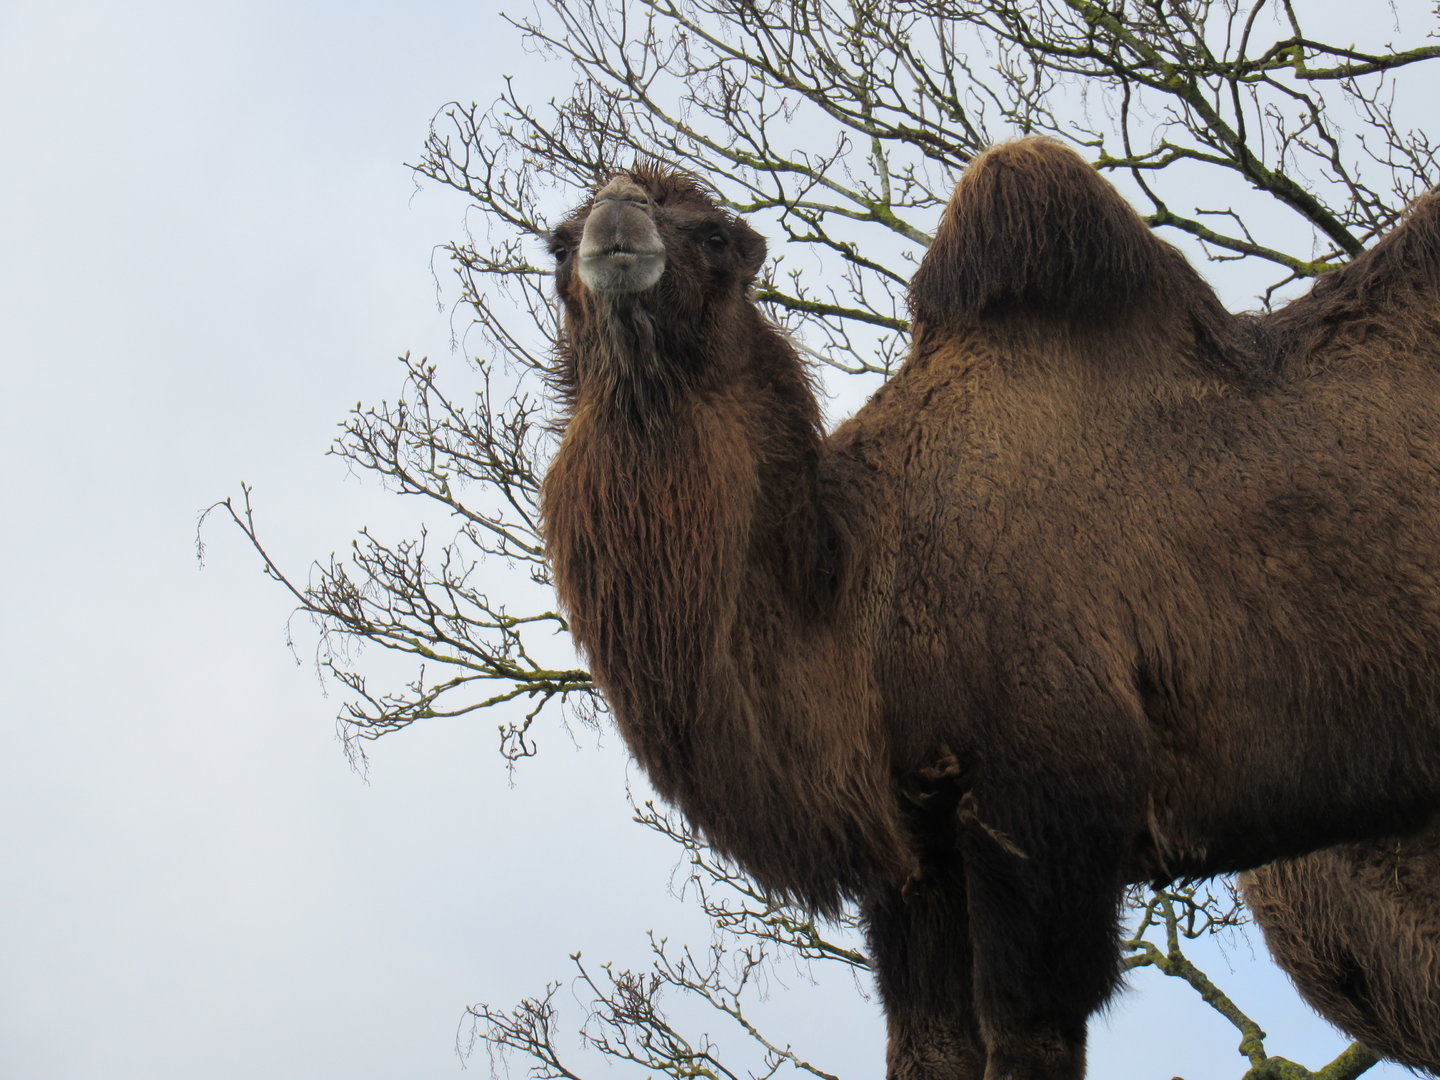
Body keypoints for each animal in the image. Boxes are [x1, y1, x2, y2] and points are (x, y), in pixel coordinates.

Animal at [539, 139, 1440, 1080]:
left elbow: (1026, 1031)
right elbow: (930, 1043)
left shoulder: (1050, 791)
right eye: (555, 244)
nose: (615, 223)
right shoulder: (919, 845)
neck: (855, 586)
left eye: (714, 235)